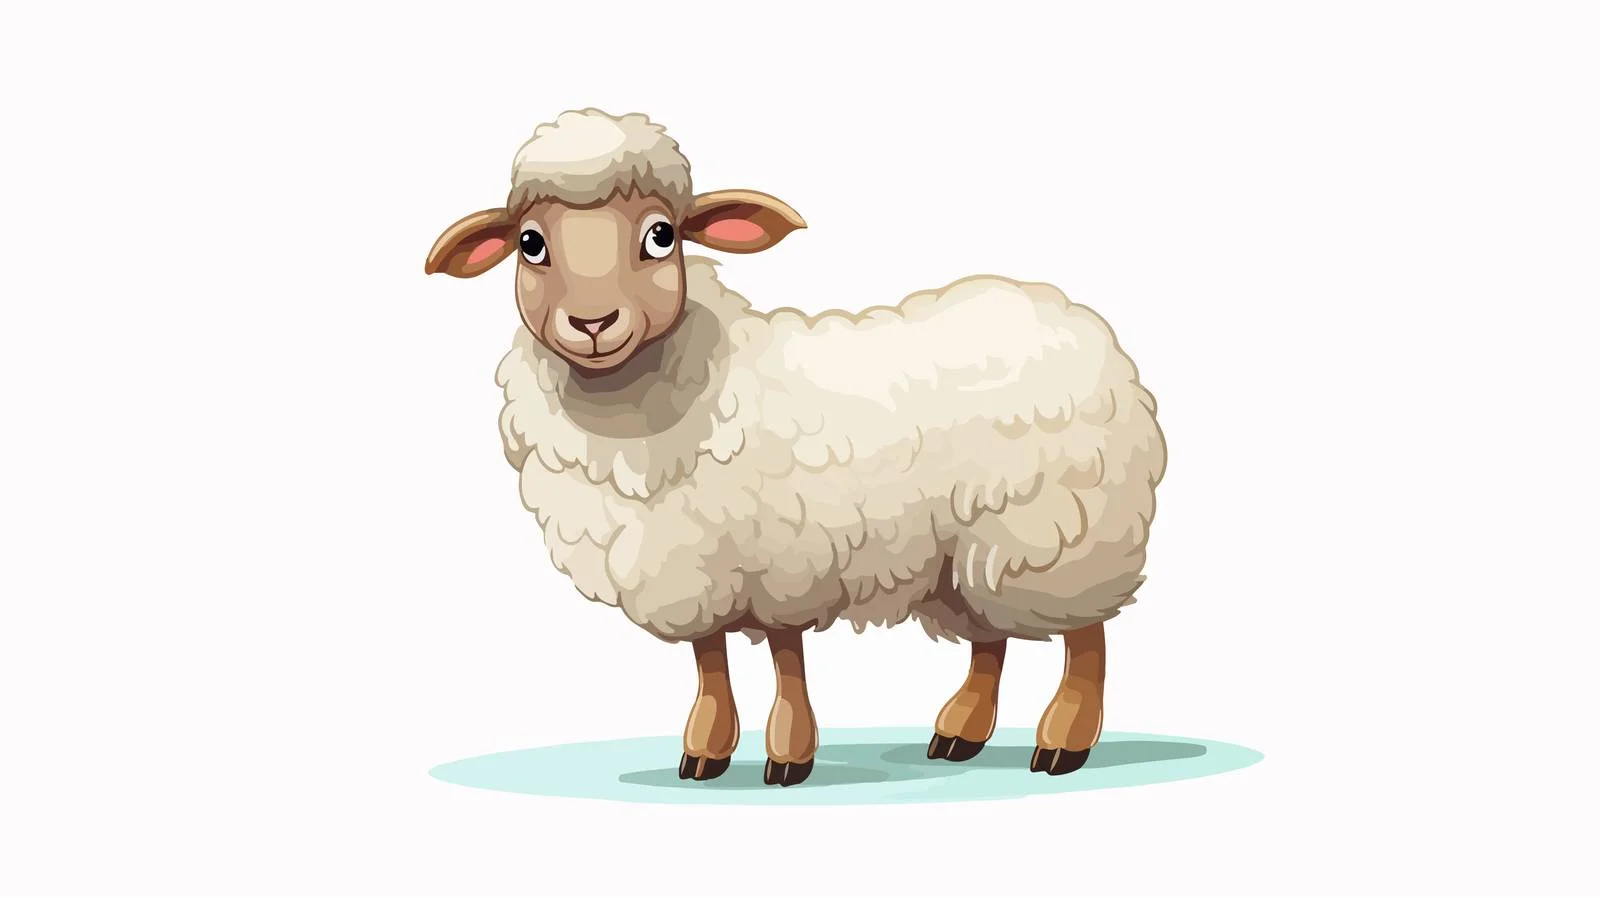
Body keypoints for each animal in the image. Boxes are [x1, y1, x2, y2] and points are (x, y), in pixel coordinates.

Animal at [425, 108, 1167, 787]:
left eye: (660, 236)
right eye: (531, 244)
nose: (593, 322)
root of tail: (1068, 314)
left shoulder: (782, 559)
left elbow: (785, 656)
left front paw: (788, 754)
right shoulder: (699, 567)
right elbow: (710, 658)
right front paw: (705, 750)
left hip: (1054, 535)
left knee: (1086, 636)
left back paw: (1065, 738)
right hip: (963, 553)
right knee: (991, 638)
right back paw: (960, 732)